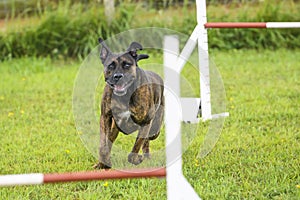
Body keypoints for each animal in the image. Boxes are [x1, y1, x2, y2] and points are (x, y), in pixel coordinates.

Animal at [94, 38, 164, 169]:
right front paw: (102, 163)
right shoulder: (105, 117)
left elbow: (137, 145)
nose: (118, 76)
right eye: (110, 65)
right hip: (114, 128)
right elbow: (103, 145)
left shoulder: (146, 122)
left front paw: (136, 159)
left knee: (149, 138)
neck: (124, 96)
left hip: (155, 125)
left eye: (127, 65)